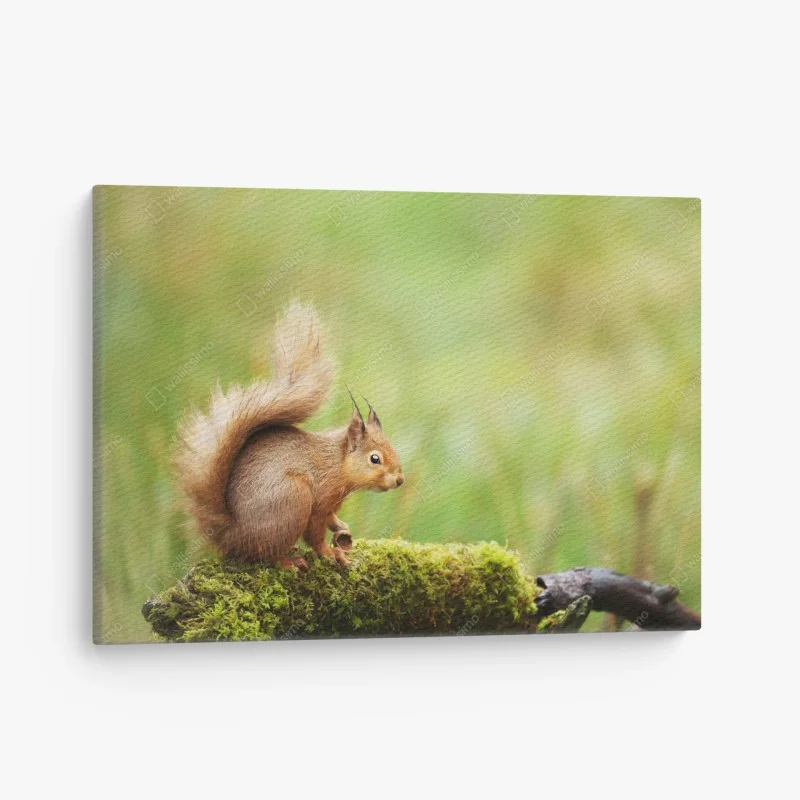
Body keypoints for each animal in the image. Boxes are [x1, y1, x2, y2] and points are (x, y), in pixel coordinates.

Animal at [175, 301, 404, 570]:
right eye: (375, 459)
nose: (399, 480)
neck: (337, 463)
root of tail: (232, 537)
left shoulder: (331, 504)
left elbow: (331, 519)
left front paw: (342, 528)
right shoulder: (321, 499)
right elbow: (315, 533)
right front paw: (330, 554)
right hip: (294, 498)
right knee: (266, 554)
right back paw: (289, 561)